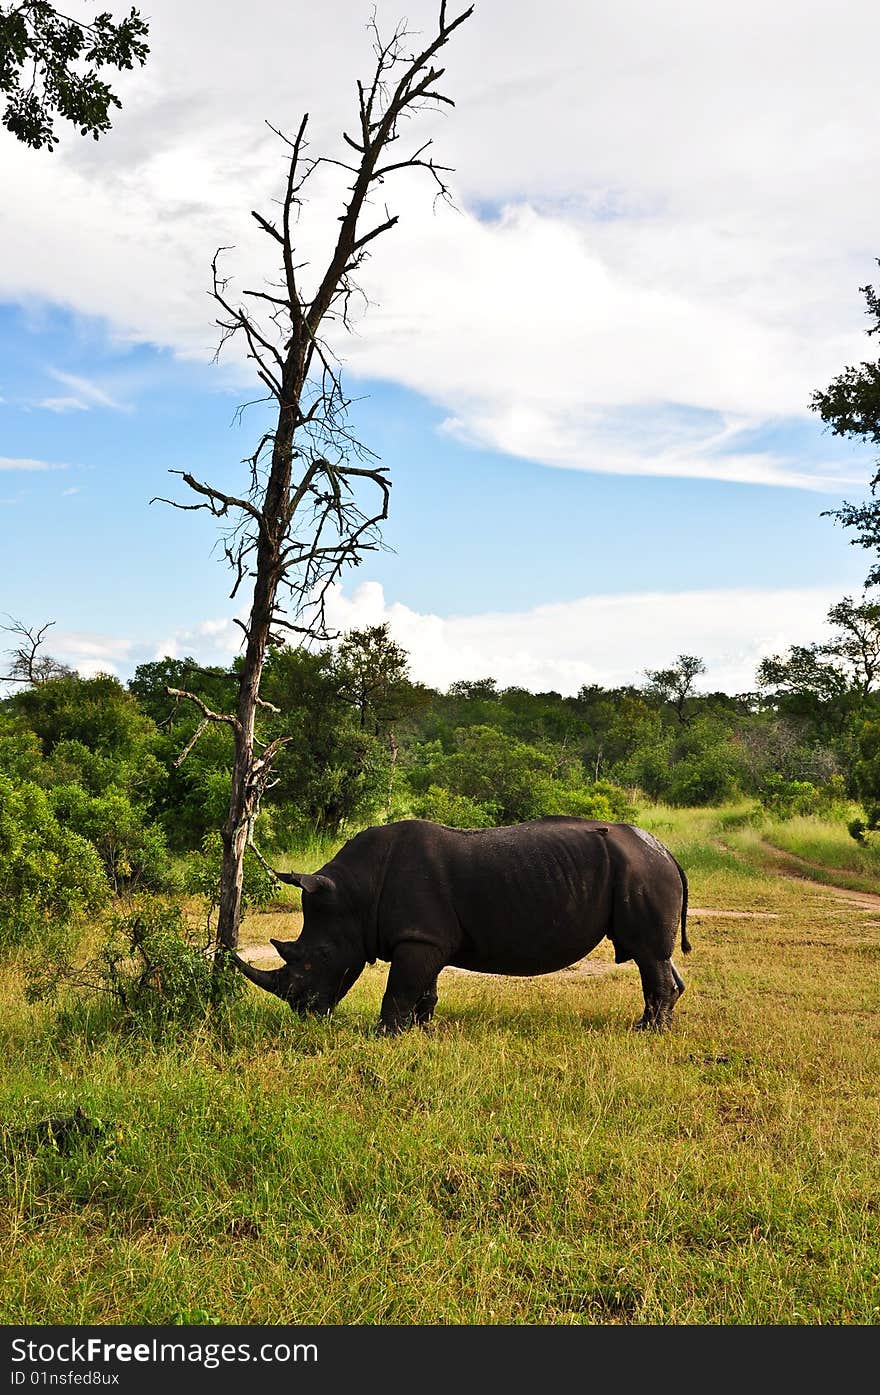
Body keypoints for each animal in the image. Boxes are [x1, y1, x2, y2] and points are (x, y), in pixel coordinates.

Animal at [232, 814, 688, 1032]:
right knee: (654, 956)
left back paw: (646, 1033)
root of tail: (668, 852)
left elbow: (399, 991)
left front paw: (384, 1036)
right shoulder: (425, 937)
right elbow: (422, 990)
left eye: (322, 957)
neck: (356, 893)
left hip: (642, 871)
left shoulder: (418, 938)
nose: (305, 1013)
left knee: (648, 955)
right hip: (642, 868)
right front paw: (421, 1031)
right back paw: (653, 1025)